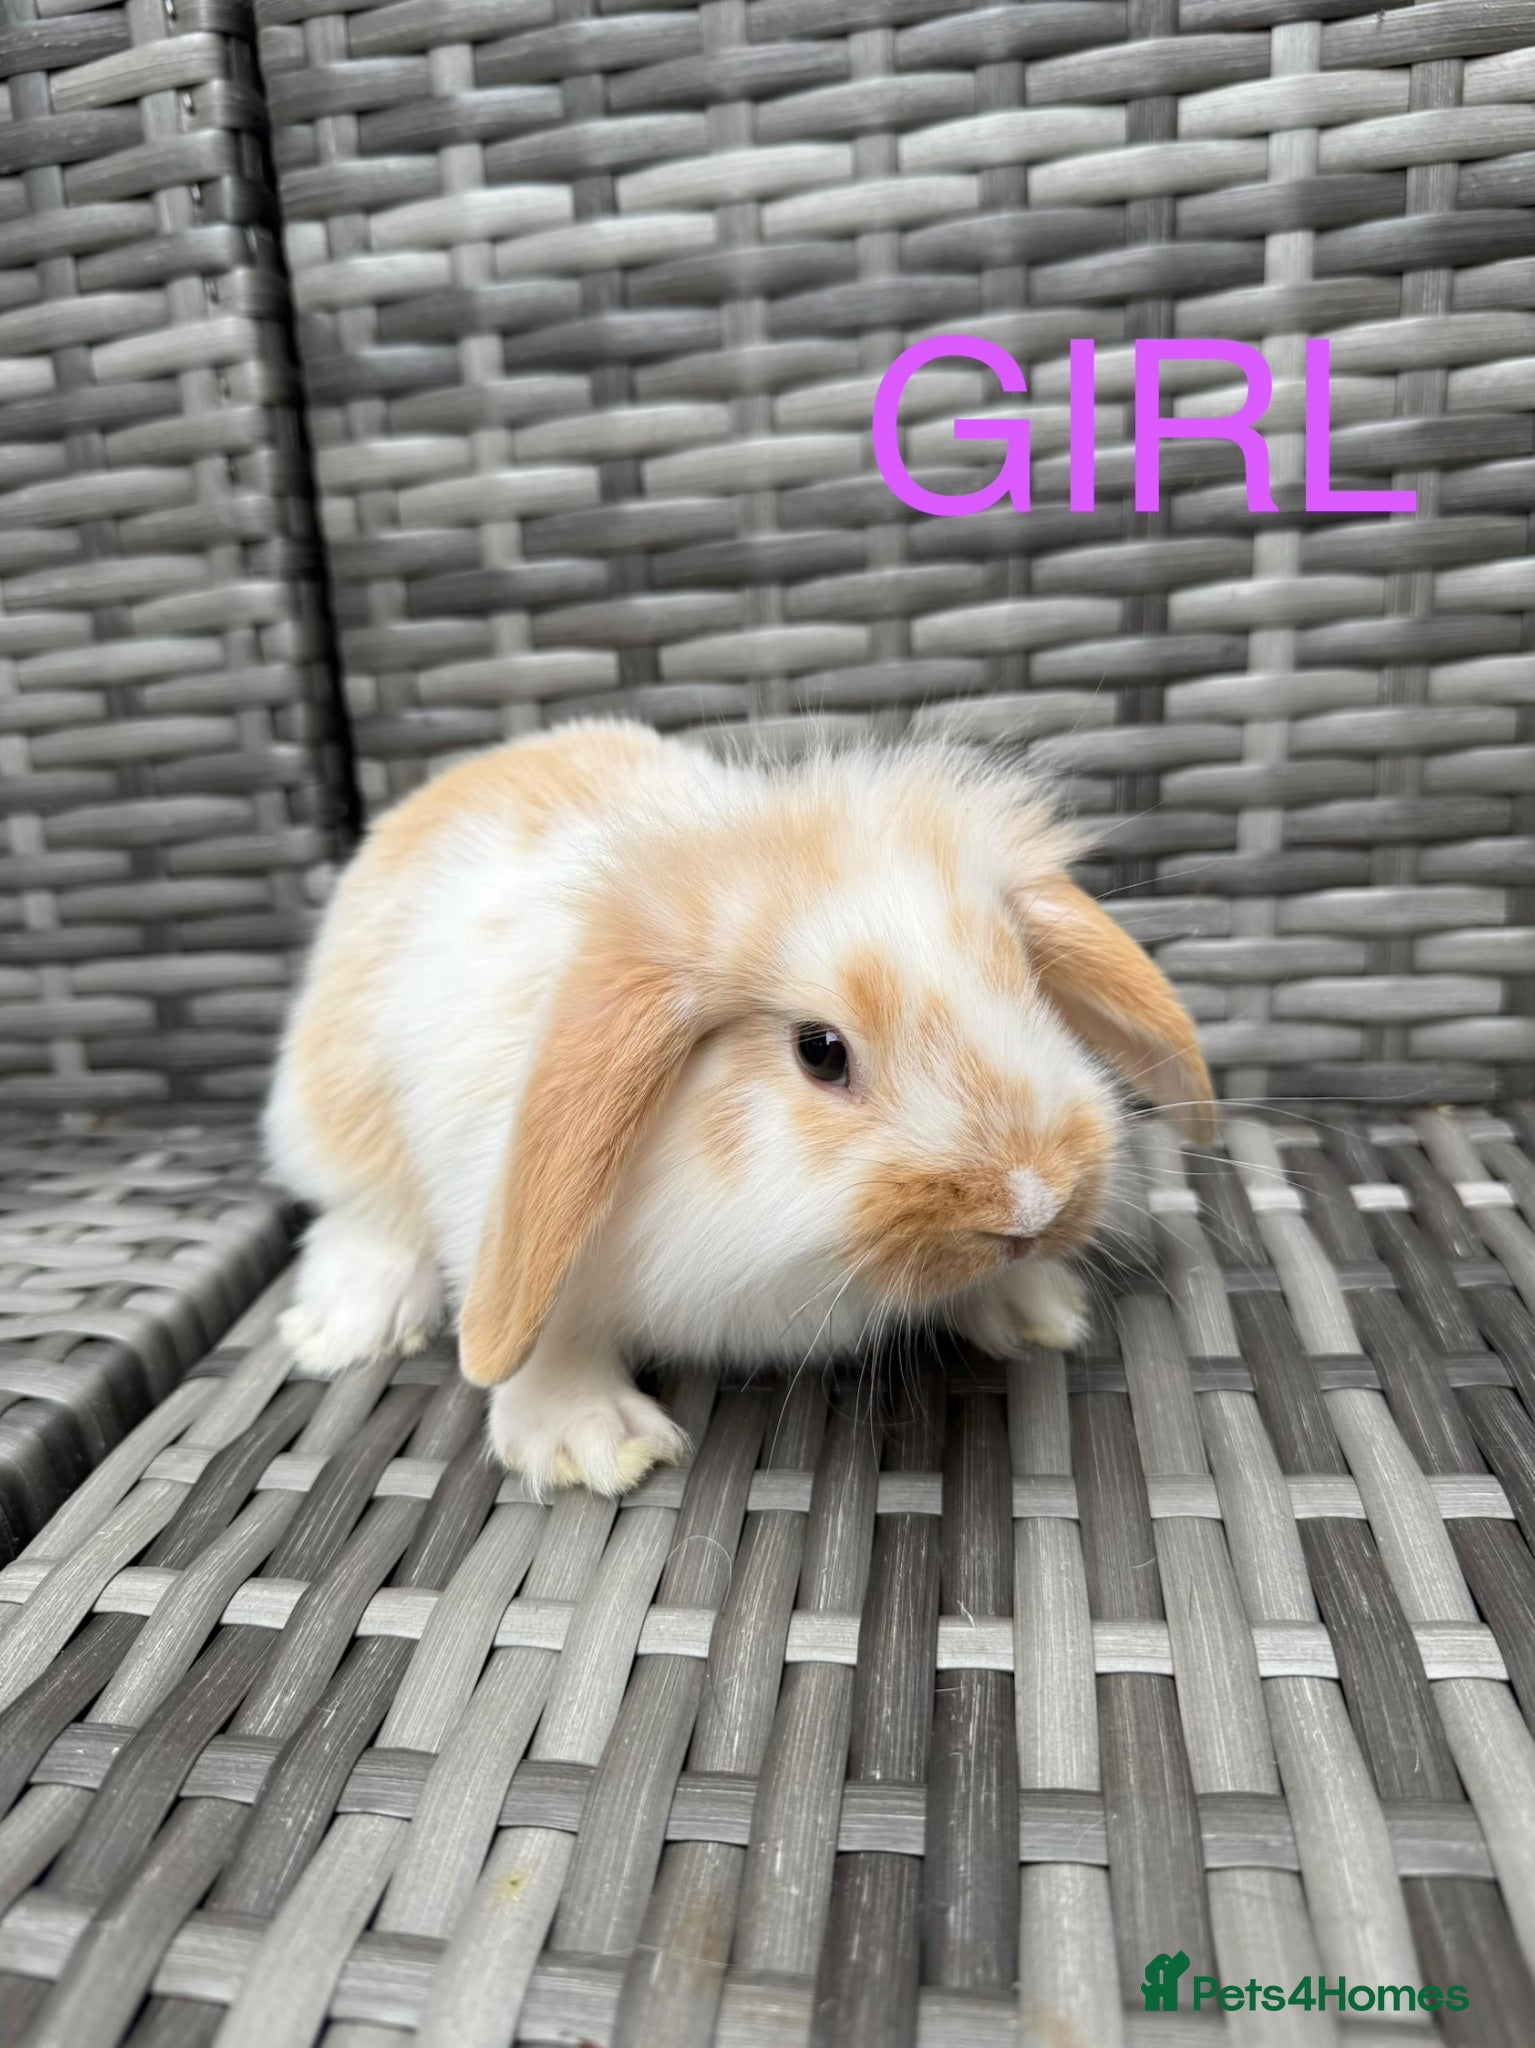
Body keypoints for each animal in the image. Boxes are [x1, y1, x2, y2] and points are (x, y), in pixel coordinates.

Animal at [265, 718, 1214, 1496]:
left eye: (1027, 989)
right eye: (819, 1051)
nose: (1032, 1203)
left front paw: (1036, 1304)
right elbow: (544, 1336)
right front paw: (590, 1443)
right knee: (366, 1215)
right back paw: (347, 1325)